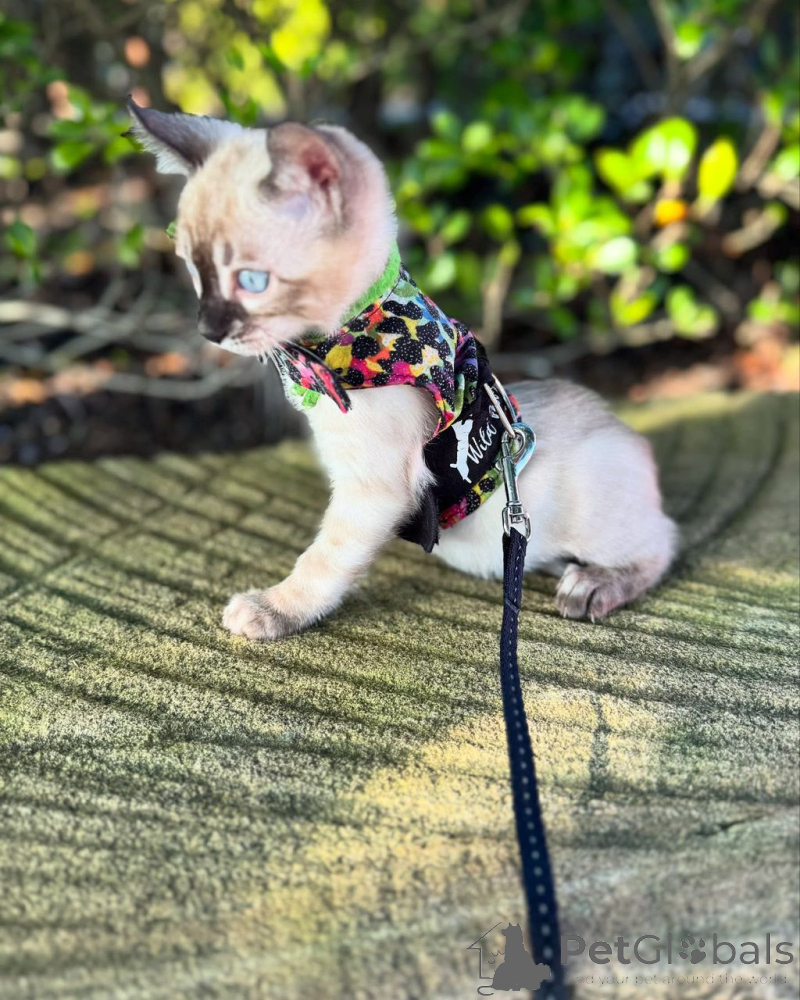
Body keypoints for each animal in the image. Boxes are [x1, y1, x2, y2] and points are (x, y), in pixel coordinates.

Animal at [128, 98, 677, 641]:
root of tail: (628, 433)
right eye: (194, 271)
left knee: (665, 541)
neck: (345, 355)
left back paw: (593, 584)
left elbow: (321, 563)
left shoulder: (373, 492)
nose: (208, 330)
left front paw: (272, 609)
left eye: (252, 281)